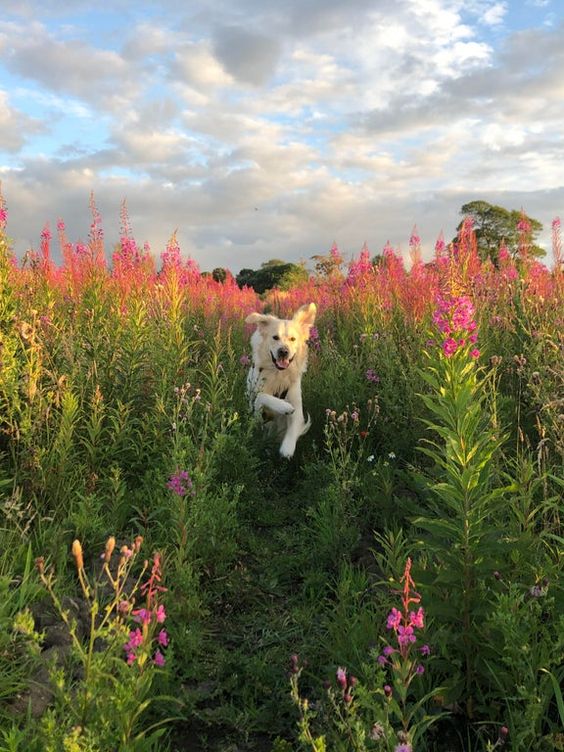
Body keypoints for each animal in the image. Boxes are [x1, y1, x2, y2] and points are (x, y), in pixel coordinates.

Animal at [246, 304, 318, 458]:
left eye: (293, 339)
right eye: (275, 337)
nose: (283, 351)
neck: (278, 374)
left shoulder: (297, 407)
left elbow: (294, 426)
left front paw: (287, 449)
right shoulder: (256, 414)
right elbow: (262, 397)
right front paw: (284, 406)